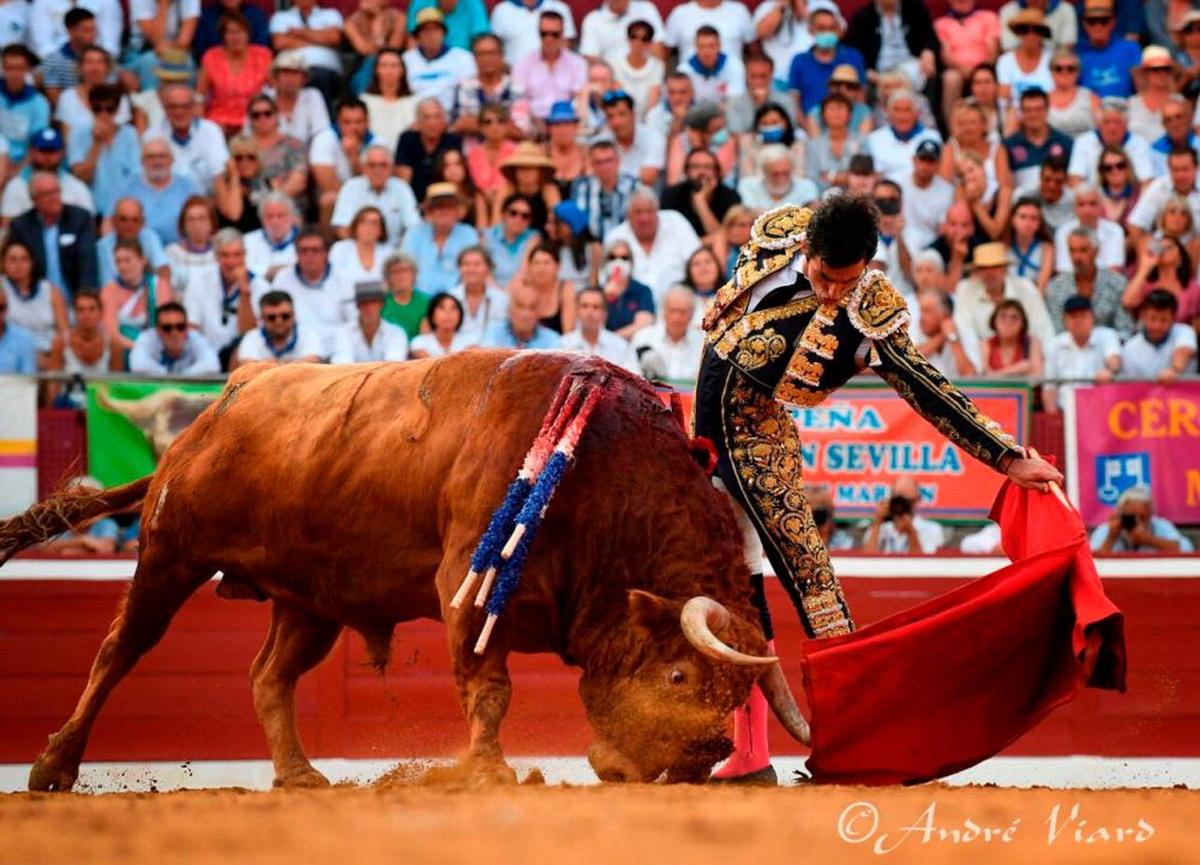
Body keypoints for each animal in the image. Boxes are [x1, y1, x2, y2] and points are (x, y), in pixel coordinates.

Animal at [0, 347, 811, 787]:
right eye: (677, 676)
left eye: (736, 694)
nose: (700, 760)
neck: (603, 479)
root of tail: (220, 403)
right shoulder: (464, 591)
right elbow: (489, 688)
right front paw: (488, 771)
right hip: (169, 554)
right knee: (118, 651)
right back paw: (53, 768)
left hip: (310, 600)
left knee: (269, 676)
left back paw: (300, 775)